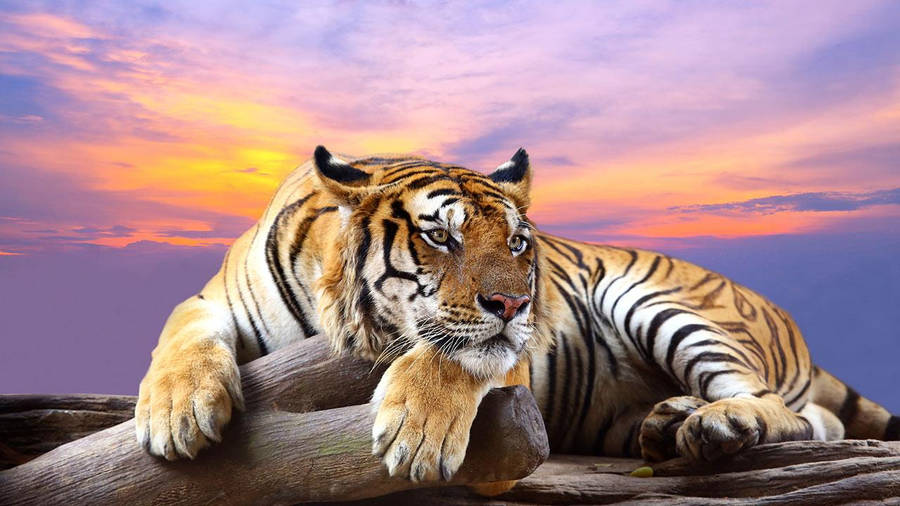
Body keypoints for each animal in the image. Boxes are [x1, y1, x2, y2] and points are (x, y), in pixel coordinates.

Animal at [135, 146, 898, 487]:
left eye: (518, 244)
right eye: (440, 236)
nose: (516, 304)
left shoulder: (505, 355)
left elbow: (455, 355)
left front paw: (416, 436)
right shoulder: (211, 300)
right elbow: (180, 335)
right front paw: (176, 414)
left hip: (662, 303)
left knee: (785, 411)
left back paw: (714, 425)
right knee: (814, 419)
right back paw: (669, 422)